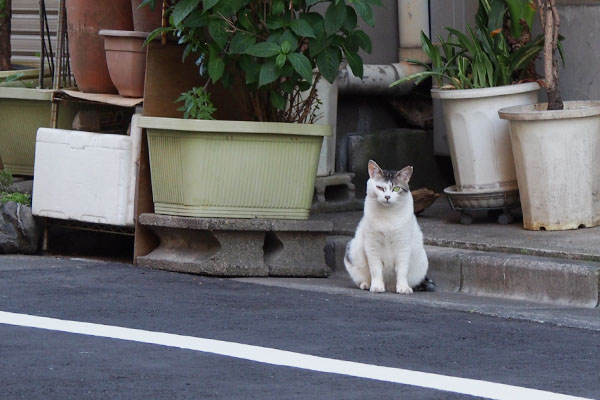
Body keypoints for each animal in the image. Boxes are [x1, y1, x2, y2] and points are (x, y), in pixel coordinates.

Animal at [344, 159, 434, 294]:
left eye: (396, 188)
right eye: (380, 187)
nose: (387, 197)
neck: (387, 216)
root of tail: (389, 286)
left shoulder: (403, 245)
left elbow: (402, 270)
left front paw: (403, 288)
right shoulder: (372, 245)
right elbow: (375, 270)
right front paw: (376, 286)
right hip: (353, 251)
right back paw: (366, 284)